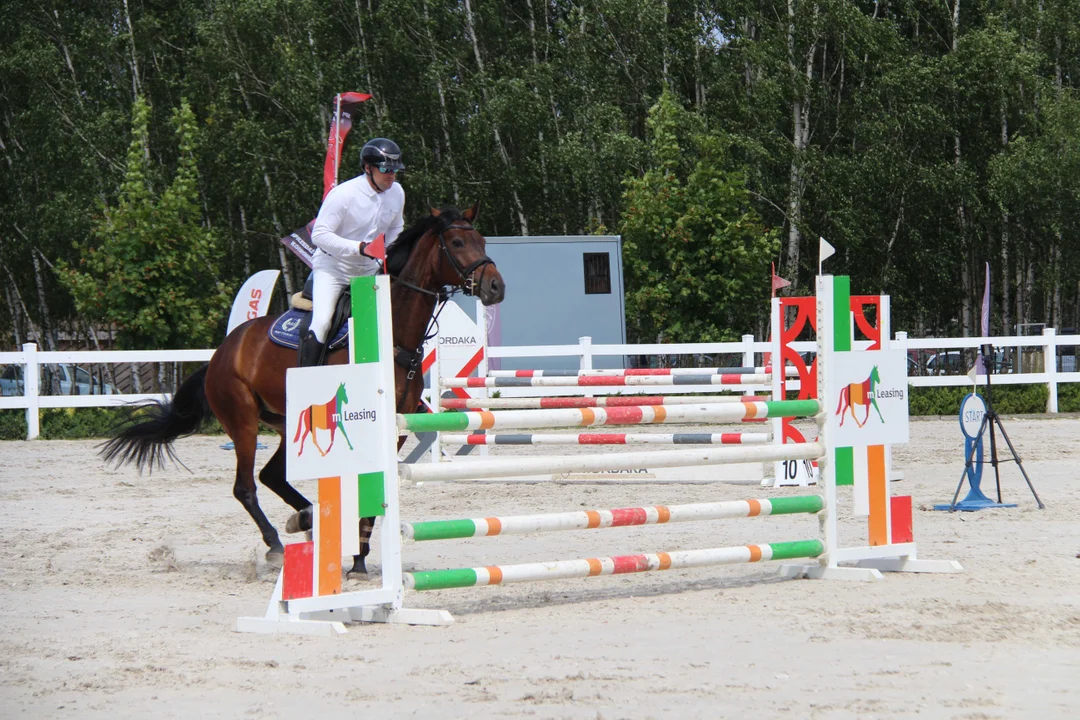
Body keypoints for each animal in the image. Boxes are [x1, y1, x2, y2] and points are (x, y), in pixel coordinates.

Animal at [101, 204, 505, 574]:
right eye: (457, 242)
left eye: (483, 241)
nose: (496, 287)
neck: (391, 334)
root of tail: (221, 353)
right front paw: (357, 557)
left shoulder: (398, 427)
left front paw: (359, 556)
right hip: (243, 421)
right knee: (245, 486)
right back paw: (277, 543)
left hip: (283, 422)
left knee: (271, 476)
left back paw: (306, 518)